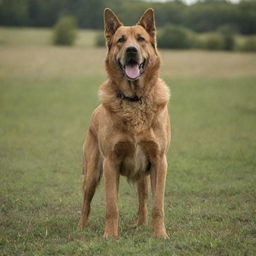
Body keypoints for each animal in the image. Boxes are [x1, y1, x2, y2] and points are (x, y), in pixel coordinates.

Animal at [79, 8, 171, 240]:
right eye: (121, 40)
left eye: (141, 39)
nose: (131, 50)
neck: (134, 99)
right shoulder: (110, 162)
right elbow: (112, 206)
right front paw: (110, 235)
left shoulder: (159, 161)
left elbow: (157, 206)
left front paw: (160, 235)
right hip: (92, 173)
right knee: (86, 203)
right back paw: (81, 228)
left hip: (143, 176)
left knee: (143, 200)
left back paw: (141, 224)